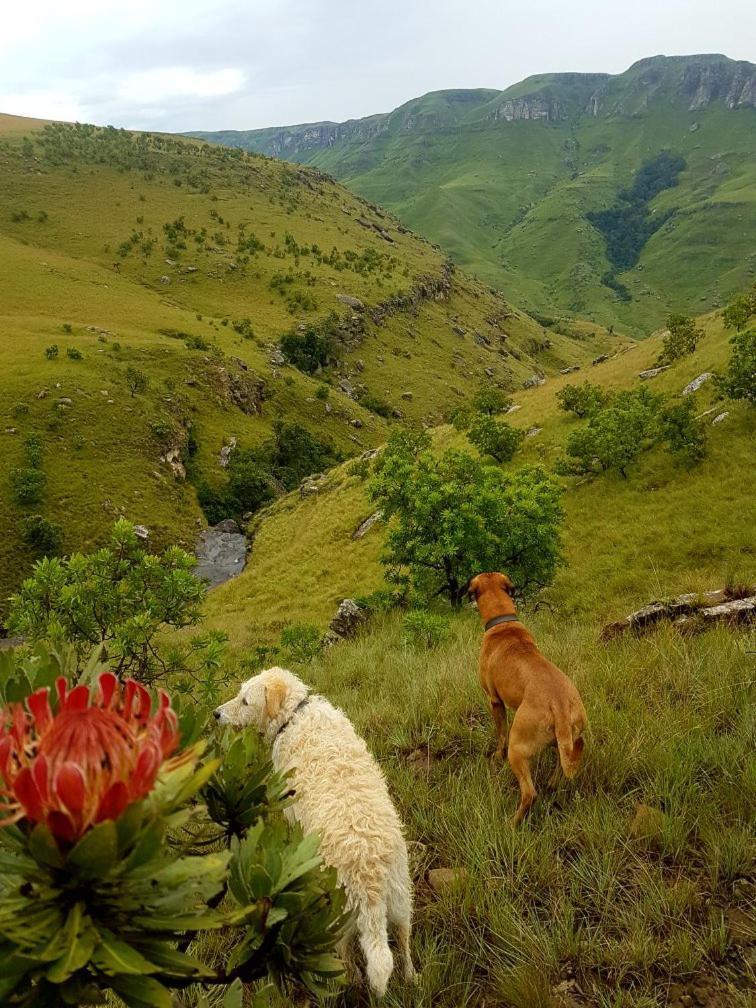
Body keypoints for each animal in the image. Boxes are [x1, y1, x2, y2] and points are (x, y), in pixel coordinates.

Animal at [213, 665, 417, 995]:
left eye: (245, 701)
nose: (216, 714)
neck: (294, 715)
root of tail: (368, 871)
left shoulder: (290, 806)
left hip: (340, 913)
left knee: (347, 952)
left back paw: (349, 979)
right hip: (399, 893)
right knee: (402, 938)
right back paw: (411, 976)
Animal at [471, 572, 588, 822]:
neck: (503, 623)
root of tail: (559, 705)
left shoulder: (494, 701)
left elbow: (500, 734)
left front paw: (497, 755)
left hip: (517, 748)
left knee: (529, 793)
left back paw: (512, 823)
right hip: (567, 740)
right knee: (561, 768)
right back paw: (552, 784)